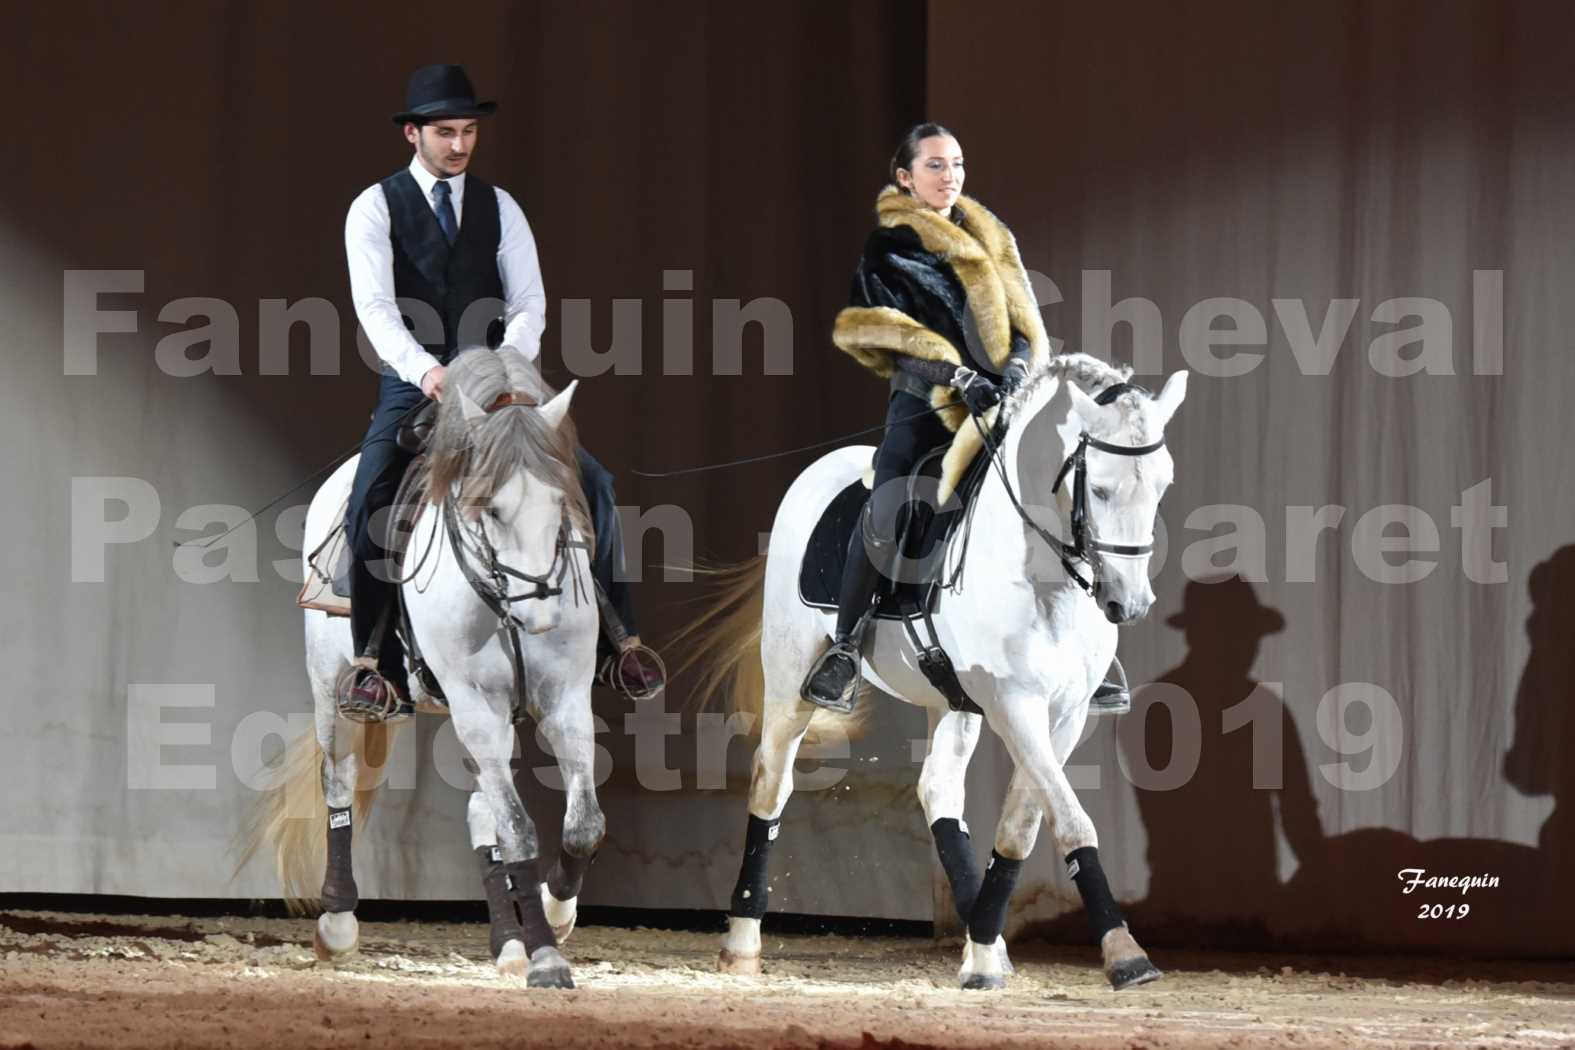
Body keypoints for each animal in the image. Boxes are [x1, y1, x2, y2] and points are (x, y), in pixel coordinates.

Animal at [244, 349, 601, 988]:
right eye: (490, 508)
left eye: (562, 502)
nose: (541, 611)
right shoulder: (477, 705)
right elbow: (518, 829)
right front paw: (547, 957)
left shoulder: (563, 700)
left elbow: (581, 823)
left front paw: (554, 918)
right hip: (330, 683)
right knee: (337, 780)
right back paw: (337, 924)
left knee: (482, 807)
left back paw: (508, 943)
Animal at [683, 355, 1184, 994]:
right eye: (1097, 488)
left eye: (1163, 485)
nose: (1130, 603)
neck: (1040, 574)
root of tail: (821, 470)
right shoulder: (1015, 705)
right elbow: (1072, 820)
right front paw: (1125, 954)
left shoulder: (1065, 716)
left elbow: (1020, 827)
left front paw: (984, 957)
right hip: (792, 680)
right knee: (772, 781)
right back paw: (742, 943)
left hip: (953, 701)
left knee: (938, 790)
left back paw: (984, 942)